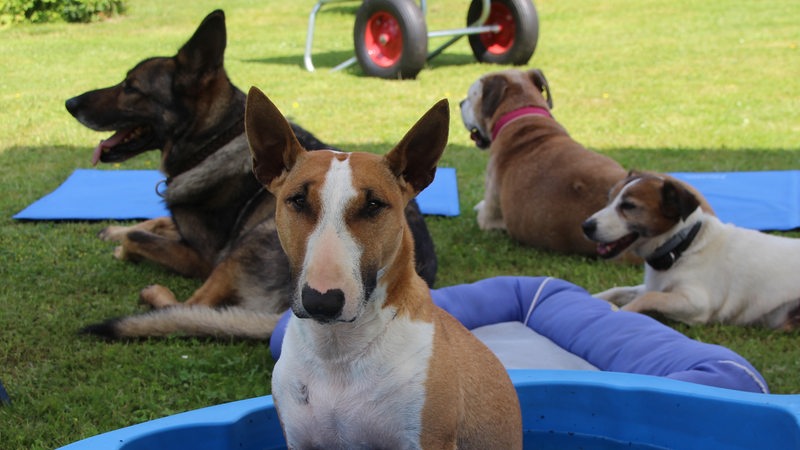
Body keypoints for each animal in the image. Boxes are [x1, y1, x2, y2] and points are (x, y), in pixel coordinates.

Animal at [580, 171, 800, 328]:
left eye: (628, 206)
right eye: (609, 199)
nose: (586, 226)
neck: (682, 248)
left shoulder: (697, 303)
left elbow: (649, 297)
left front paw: (618, 313)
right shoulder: (652, 286)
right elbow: (618, 290)